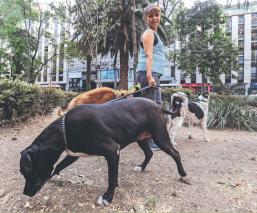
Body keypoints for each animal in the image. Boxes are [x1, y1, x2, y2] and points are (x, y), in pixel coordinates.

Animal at [19, 97, 185, 206]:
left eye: (29, 172)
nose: (25, 193)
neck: (64, 130)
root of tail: (157, 106)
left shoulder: (112, 151)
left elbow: (111, 178)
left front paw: (107, 198)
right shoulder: (73, 154)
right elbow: (59, 165)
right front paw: (53, 177)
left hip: (160, 138)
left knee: (175, 153)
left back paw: (183, 174)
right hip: (141, 139)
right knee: (149, 153)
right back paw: (142, 167)